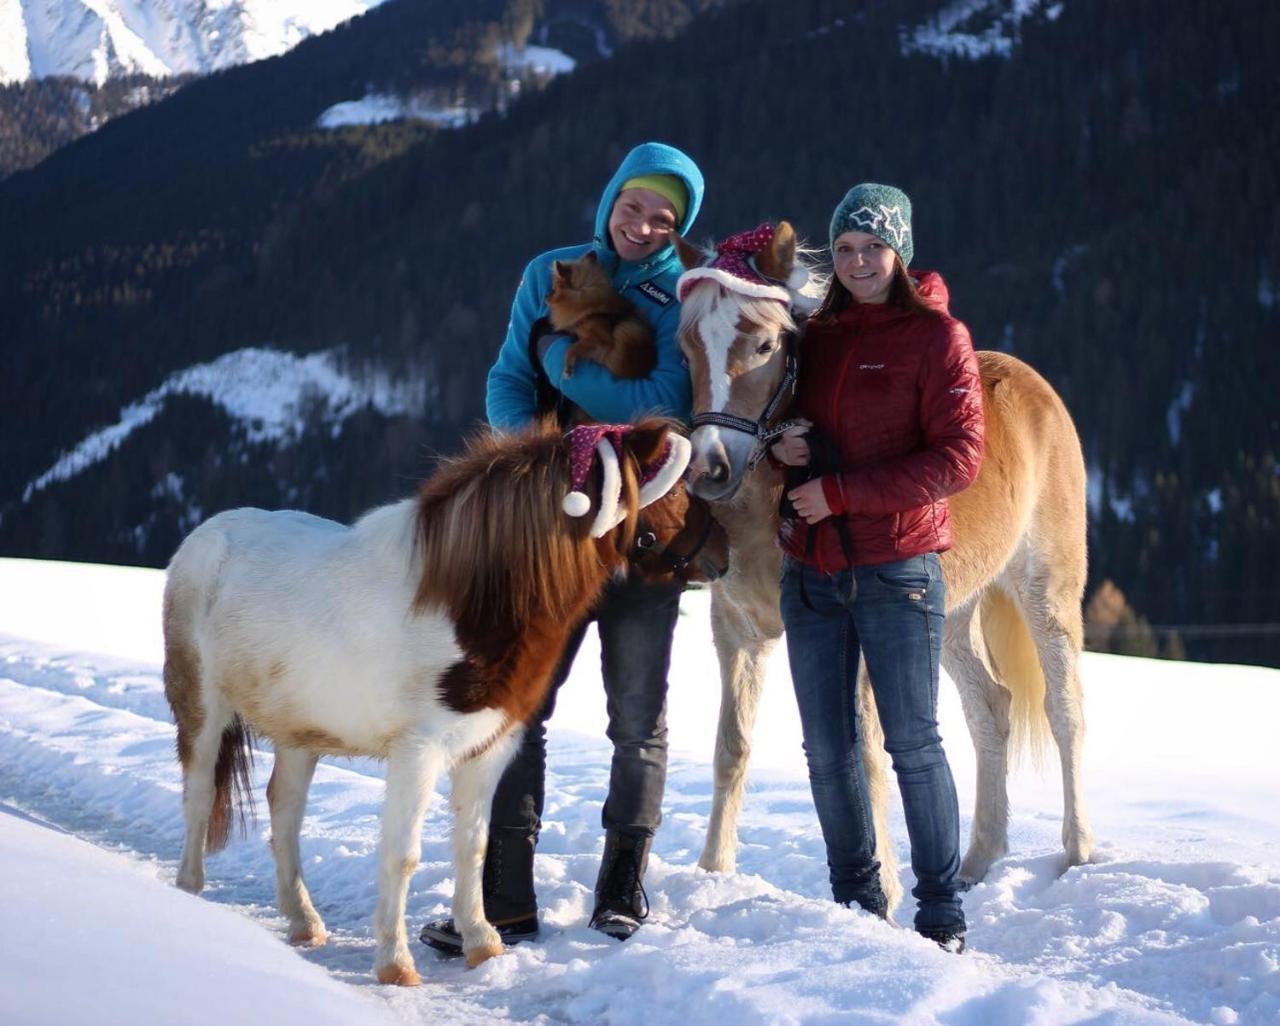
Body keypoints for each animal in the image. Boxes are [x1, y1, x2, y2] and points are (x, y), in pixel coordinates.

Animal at [163, 414, 727, 982]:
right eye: (674, 490)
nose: (723, 554)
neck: (470, 602)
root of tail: (204, 535)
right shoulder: (419, 751)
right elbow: (403, 853)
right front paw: (396, 963)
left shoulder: (488, 749)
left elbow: (472, 846)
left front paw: (481, 942)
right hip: (202, 708)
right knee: (198, 795)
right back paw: (189, 898)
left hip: (300, 731)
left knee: (284, 810)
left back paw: (304, 921)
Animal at [675, 217, 1095, 905]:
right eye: (686, 348)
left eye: (764, 345)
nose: (709, 470)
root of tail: (1035, 389)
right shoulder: (737, 630)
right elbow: (731, 746)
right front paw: (712, 872)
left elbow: (870, 754)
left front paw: (890, 893)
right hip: (950, 616)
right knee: (992, 708)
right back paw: (977, 860)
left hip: (1046, 590)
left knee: (1065, 713)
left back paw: (1078, 852)